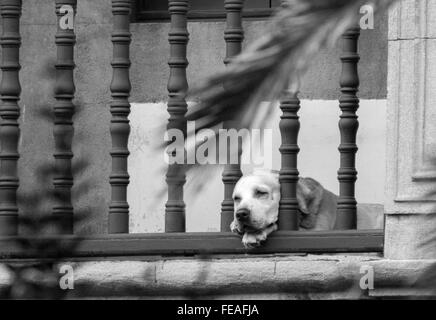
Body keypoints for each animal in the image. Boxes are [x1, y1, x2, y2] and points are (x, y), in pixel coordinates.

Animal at [230, 170, 380, 248]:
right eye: (237, 198)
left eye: (261, 193)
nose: (240, 214)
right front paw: (234, 224)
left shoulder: (318, 233)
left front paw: (254, 234)